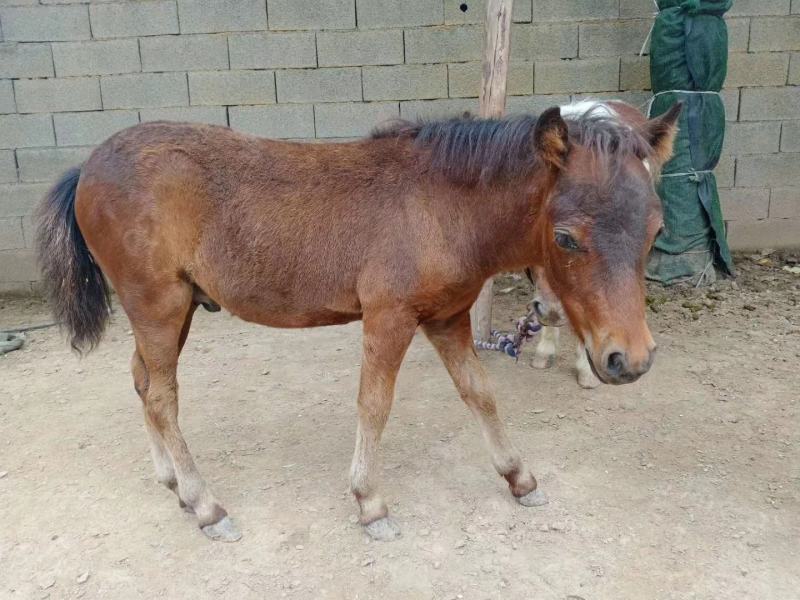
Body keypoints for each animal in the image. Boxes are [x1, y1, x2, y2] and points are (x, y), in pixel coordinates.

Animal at [35, 99, 680, 543]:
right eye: (566, 237)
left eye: (656, 228)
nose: (630, 360)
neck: (439, 205)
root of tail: (86, 168)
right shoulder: (389, 317)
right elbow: (374, 404)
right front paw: (371, 504)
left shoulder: (447, 317)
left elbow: (479, 393)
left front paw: (519, 478)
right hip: (158, 306)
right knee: (162, 397)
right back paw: (206, 506)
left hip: (177, 311)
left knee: (142, 382)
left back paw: (172, 484)